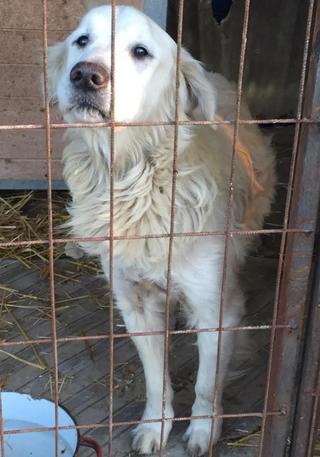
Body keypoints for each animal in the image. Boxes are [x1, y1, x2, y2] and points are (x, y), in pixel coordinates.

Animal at [48, 4, 276, 456]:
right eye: (82, 40)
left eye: (141, 51)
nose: (85, 75)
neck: (136, 179)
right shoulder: (135, 304)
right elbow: (156, 380)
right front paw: (156, 425)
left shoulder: (215, 308)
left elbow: (206, 385)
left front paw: (203, 431)